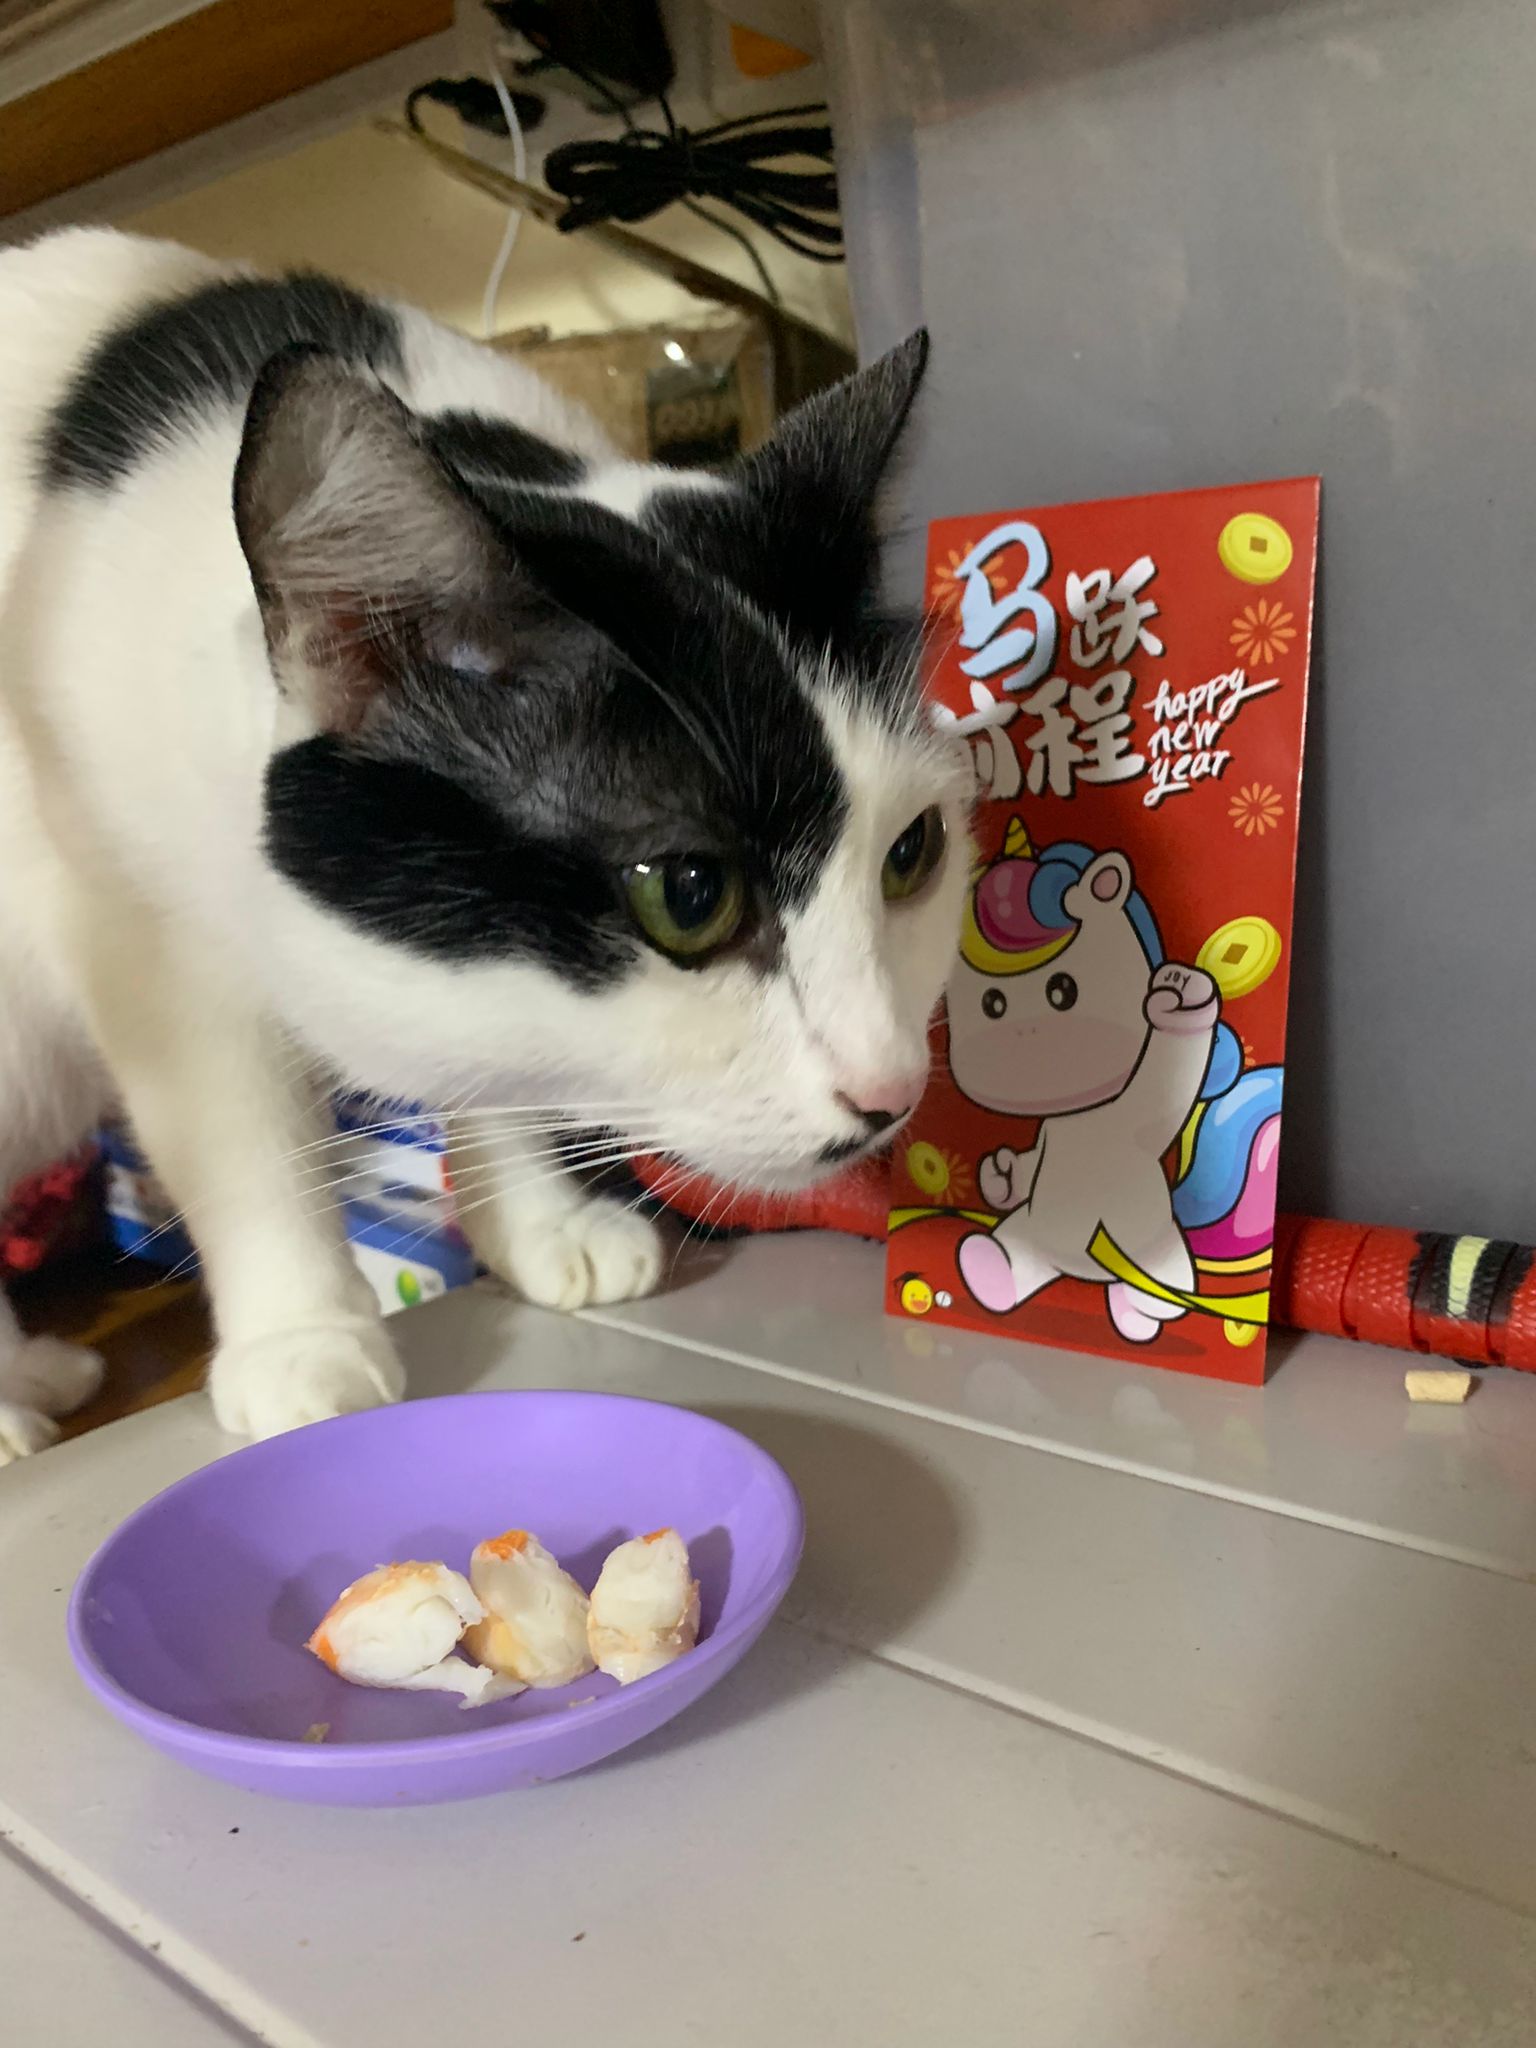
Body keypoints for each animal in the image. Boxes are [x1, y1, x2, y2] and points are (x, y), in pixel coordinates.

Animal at [0, 227, 970, 1460]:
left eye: (911, 853)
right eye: (689, 894)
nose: (893, 1091)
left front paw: (539, 1220)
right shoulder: (144, 937)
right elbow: (239, 1132)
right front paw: (302, 1340)